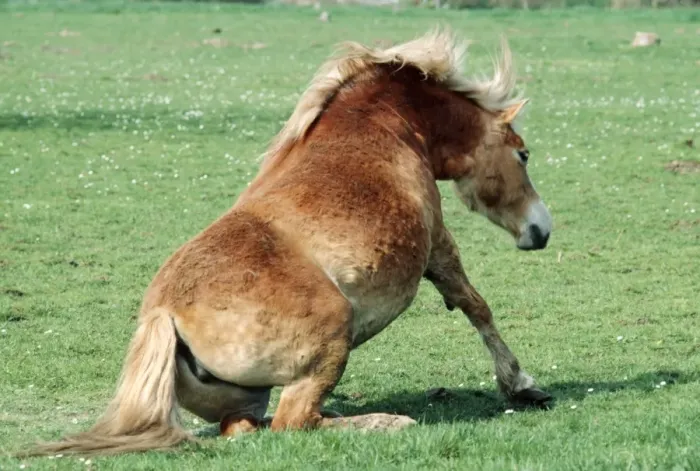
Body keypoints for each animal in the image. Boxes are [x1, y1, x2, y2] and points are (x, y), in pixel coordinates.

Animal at [22, 28, 553, 457]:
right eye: (523, 154)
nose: (541, 229)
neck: (385, 124)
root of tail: (165, 315)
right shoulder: (438, 244)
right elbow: (474, 304)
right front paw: (521, 384)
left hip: (248, 396)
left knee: (249, 428)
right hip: (333, 336)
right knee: (293, 423)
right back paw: (385, 422)